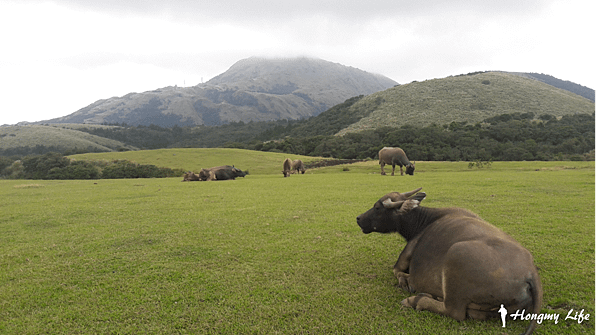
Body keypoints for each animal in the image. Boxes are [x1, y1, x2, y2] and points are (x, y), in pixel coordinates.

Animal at [356, 189, 544, 335]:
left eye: (377, 207)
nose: (358, 218)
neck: (424, 221)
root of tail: (531, 273)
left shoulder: (405, 256)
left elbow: (397, 271)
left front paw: (406, 282)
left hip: (456, 254)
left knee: (454, 311)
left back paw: (416, 300)